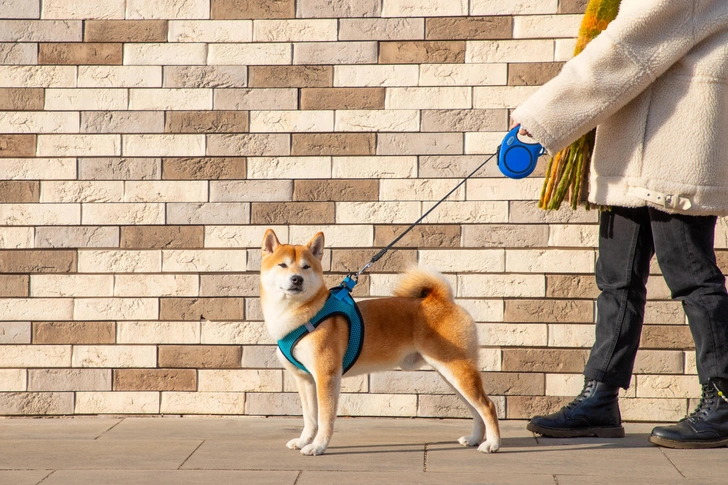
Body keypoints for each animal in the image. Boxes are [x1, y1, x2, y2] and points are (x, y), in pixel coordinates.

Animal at [260, 229, 500, 456]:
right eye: (283, 265)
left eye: (306, 267)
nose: (297, 279)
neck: (304, 314)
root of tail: (443, 300)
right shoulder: (305, 380)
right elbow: (310, 418)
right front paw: (303, 441)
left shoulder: (326, 377)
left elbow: (325, 419)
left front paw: (318, 447)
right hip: (450, 374)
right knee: (474, 408)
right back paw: (475, 438)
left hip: (457, 370)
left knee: (487, 405)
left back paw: (493, 443)